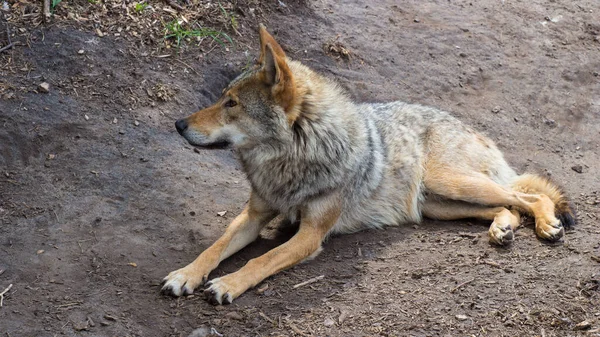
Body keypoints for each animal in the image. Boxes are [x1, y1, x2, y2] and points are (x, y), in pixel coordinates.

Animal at [161, 25, 576, 304]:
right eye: (221, 97)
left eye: (231, 103)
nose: (178, 124)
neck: (290, 160)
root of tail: (473, 128)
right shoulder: (253, 215)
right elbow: (213, 249)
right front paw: (185, 275)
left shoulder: (310, 235)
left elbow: (261, 260)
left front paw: (227, 284)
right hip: (438, 206)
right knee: (509, 207)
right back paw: (502, 230)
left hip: (451, 183)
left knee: (529, 197)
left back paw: (547, 225)